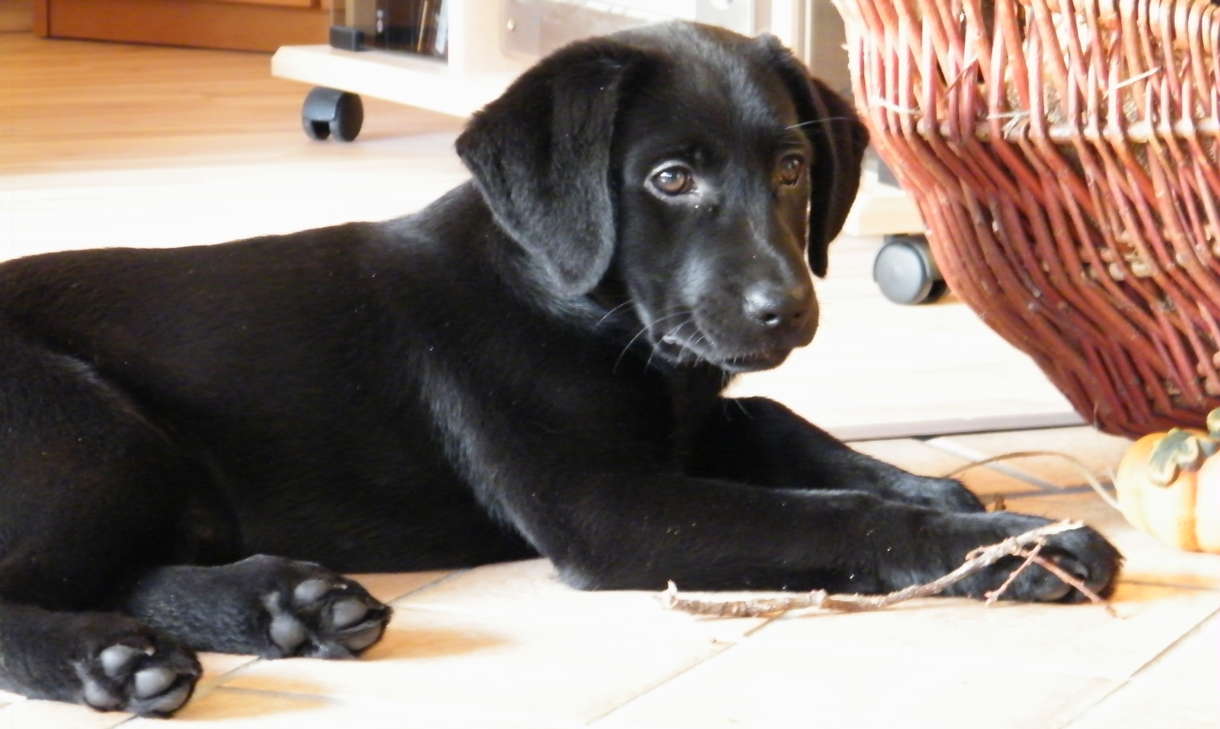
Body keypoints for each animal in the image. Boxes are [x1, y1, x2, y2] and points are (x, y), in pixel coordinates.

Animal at [0, 19, 1117, 716]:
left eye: (793, 169)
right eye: (670, 179)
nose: (786, 309)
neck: (579, 307)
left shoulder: (691, 413)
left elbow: (777, 421)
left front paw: (948, 491)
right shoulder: (607, 504)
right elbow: (833, 516)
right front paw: (1023, 547)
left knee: (130, 568)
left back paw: (283, 605)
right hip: (96, 433)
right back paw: (108, 658)